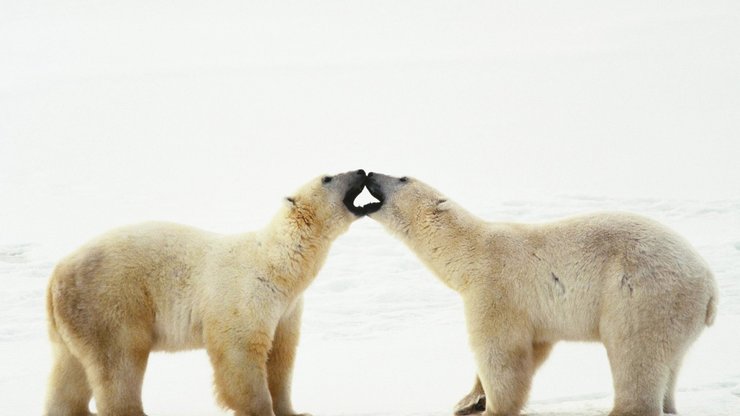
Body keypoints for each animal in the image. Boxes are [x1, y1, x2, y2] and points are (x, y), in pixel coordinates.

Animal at [44, 169, 368, 416]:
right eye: (328, 177)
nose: (361, 171)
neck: (277, 265)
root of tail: (56, 273)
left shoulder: (287, 309)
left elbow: (281, 356)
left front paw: (295, 411)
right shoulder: (245, 295)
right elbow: (241, 354)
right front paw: (260, 409)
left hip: (74, 320)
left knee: (69, 372)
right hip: (110, 302)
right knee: (120, 362)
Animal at [364, 171, 716, 416]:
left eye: (402, 177)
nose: (369, 174)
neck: (470, 252)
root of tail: (709, 284)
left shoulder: (496, 289)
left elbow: (501, 353)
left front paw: (492, 407)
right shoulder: (536, 314)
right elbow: (534, 349)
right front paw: (468, 400)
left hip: (643, 295)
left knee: (635, 353)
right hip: (677, 315)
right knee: (671, 364)